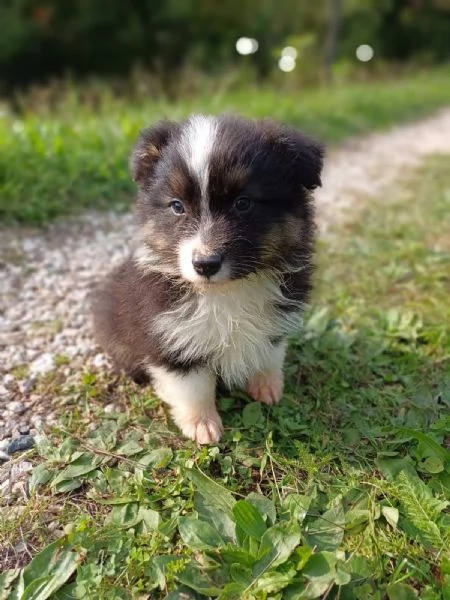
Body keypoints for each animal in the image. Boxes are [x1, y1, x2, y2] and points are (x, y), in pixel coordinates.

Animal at [91, 115, 324, 442]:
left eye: (243, 203)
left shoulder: (277, 315)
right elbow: (193, 385)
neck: (227, 291)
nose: (205, 264)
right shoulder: (169, 334)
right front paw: (202, 424)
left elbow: (270, 352)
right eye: (177, 206)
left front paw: (267, 385)